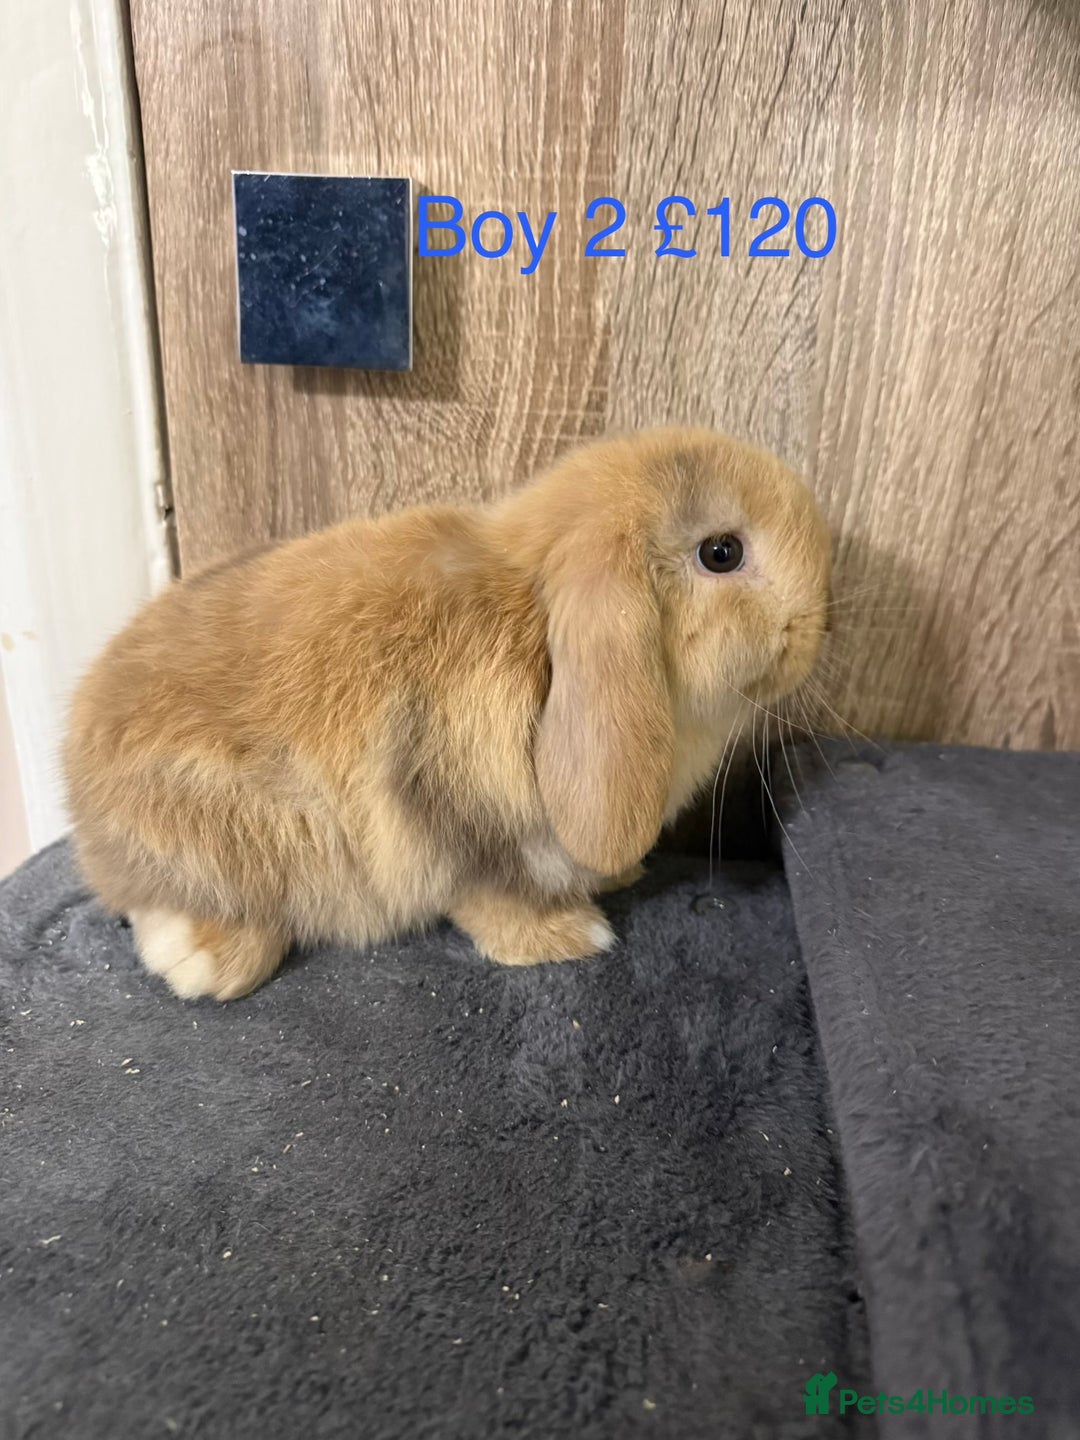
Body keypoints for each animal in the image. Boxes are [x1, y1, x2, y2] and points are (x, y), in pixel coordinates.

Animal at [63, 427, 831, 1001]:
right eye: (721, 552)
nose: (817, 629)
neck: (537, 624)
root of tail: (78, 792)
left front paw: (620, 877)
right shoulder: (457, 821)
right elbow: (491, 898)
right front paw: (569, 938)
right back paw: (209, 962)